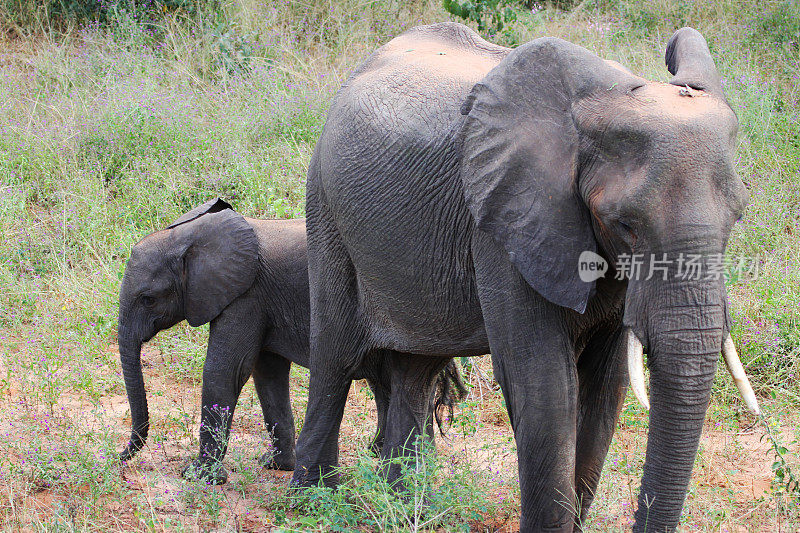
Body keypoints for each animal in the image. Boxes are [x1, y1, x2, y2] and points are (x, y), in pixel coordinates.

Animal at [113, 198, 462, 482]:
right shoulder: (263, 303)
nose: (119, 457)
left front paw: (199, 477)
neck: (193, 235)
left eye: (148, 299)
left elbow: (225, 370)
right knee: (390, 384)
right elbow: (267, 374)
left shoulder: (246, 296)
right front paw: (276, 466)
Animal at [290, 22, 760, 528]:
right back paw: (312, 498)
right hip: (325, 207)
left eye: (737, 217)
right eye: (625, 225)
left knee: (416, 370)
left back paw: (411, 508)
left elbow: (605, 387)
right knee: (335, 354)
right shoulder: (504, 220)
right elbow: (545, 389)